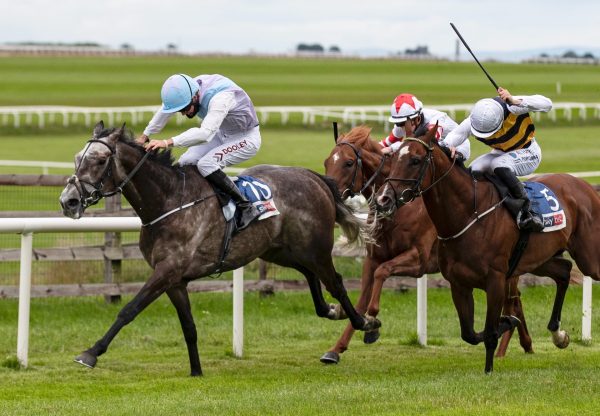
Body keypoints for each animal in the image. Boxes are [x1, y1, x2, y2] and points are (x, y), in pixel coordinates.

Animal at [324, 126, 536, 364]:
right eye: (326, 162)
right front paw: (337, 347)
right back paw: (520, 343)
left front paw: (372, 322)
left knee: (513, 302)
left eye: (349, 163)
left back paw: (510, 344)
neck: (401, 209)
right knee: (515, 302)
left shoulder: (418, 260)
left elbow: (382, 272)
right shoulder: (373, 258)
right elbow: (362, 299)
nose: (328, 192)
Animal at [376, 124, 600, 374]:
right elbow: (470, 334)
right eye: (394, 156)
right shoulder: (459, 284)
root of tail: (586, 187)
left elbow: (490, 333)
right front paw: (509, 321)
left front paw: (489, 369)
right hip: (538, 260)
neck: (468, 215)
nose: (384, 199)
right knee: (564, 270)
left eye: (415, 160)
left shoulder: (496, 281)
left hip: (589, 258)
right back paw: (558, 334)